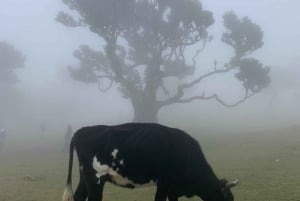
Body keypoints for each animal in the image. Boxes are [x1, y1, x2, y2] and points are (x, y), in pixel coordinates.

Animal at [62, 122, 238, 201]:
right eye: (229, 198)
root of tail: (84, 130)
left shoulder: (173, 189)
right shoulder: (165, 182)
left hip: (85, 177)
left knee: (78, 197)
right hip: (96, 178)